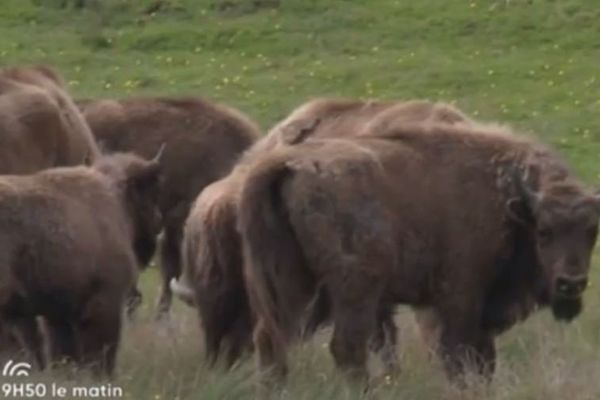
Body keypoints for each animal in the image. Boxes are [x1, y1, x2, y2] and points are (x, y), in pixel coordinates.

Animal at [0, 152, 163, 376]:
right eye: (151, 189)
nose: (159, 220)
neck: (116, 199)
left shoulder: (59, 313)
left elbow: (64, 353)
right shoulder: (105, 302)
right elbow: (101, 352)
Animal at [238, 120, 600, 382]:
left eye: (592, 231)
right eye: (544, 232)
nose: (570, 284)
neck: (509, 201)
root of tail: (287, 165)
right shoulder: (460, 300)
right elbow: (460, 356)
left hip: (289, 282)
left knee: (271, 343)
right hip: (355, 289)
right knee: (347, 348)